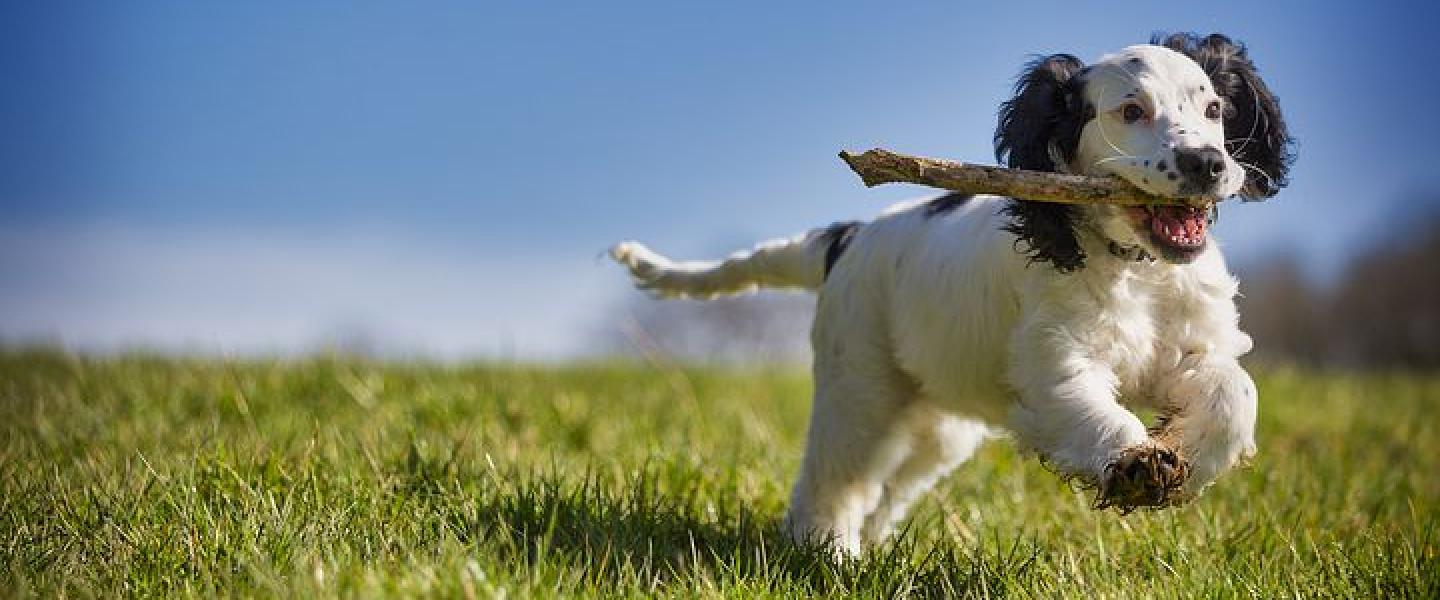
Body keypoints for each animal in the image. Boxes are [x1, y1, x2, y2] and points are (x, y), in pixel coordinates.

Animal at [607, 33, 1296, 555]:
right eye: (1131, 112)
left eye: (1213, 110)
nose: (1209, 164)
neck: (1135, 268)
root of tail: (848, 237)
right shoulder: (1054, 365)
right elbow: (1092, 410)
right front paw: (1135, 465)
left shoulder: (1195, 346)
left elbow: (1235, 395)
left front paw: (1184, 456)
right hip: (860, 387)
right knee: (833, 480)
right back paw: (828, 554)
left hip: (938, 426)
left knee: (888, 488)